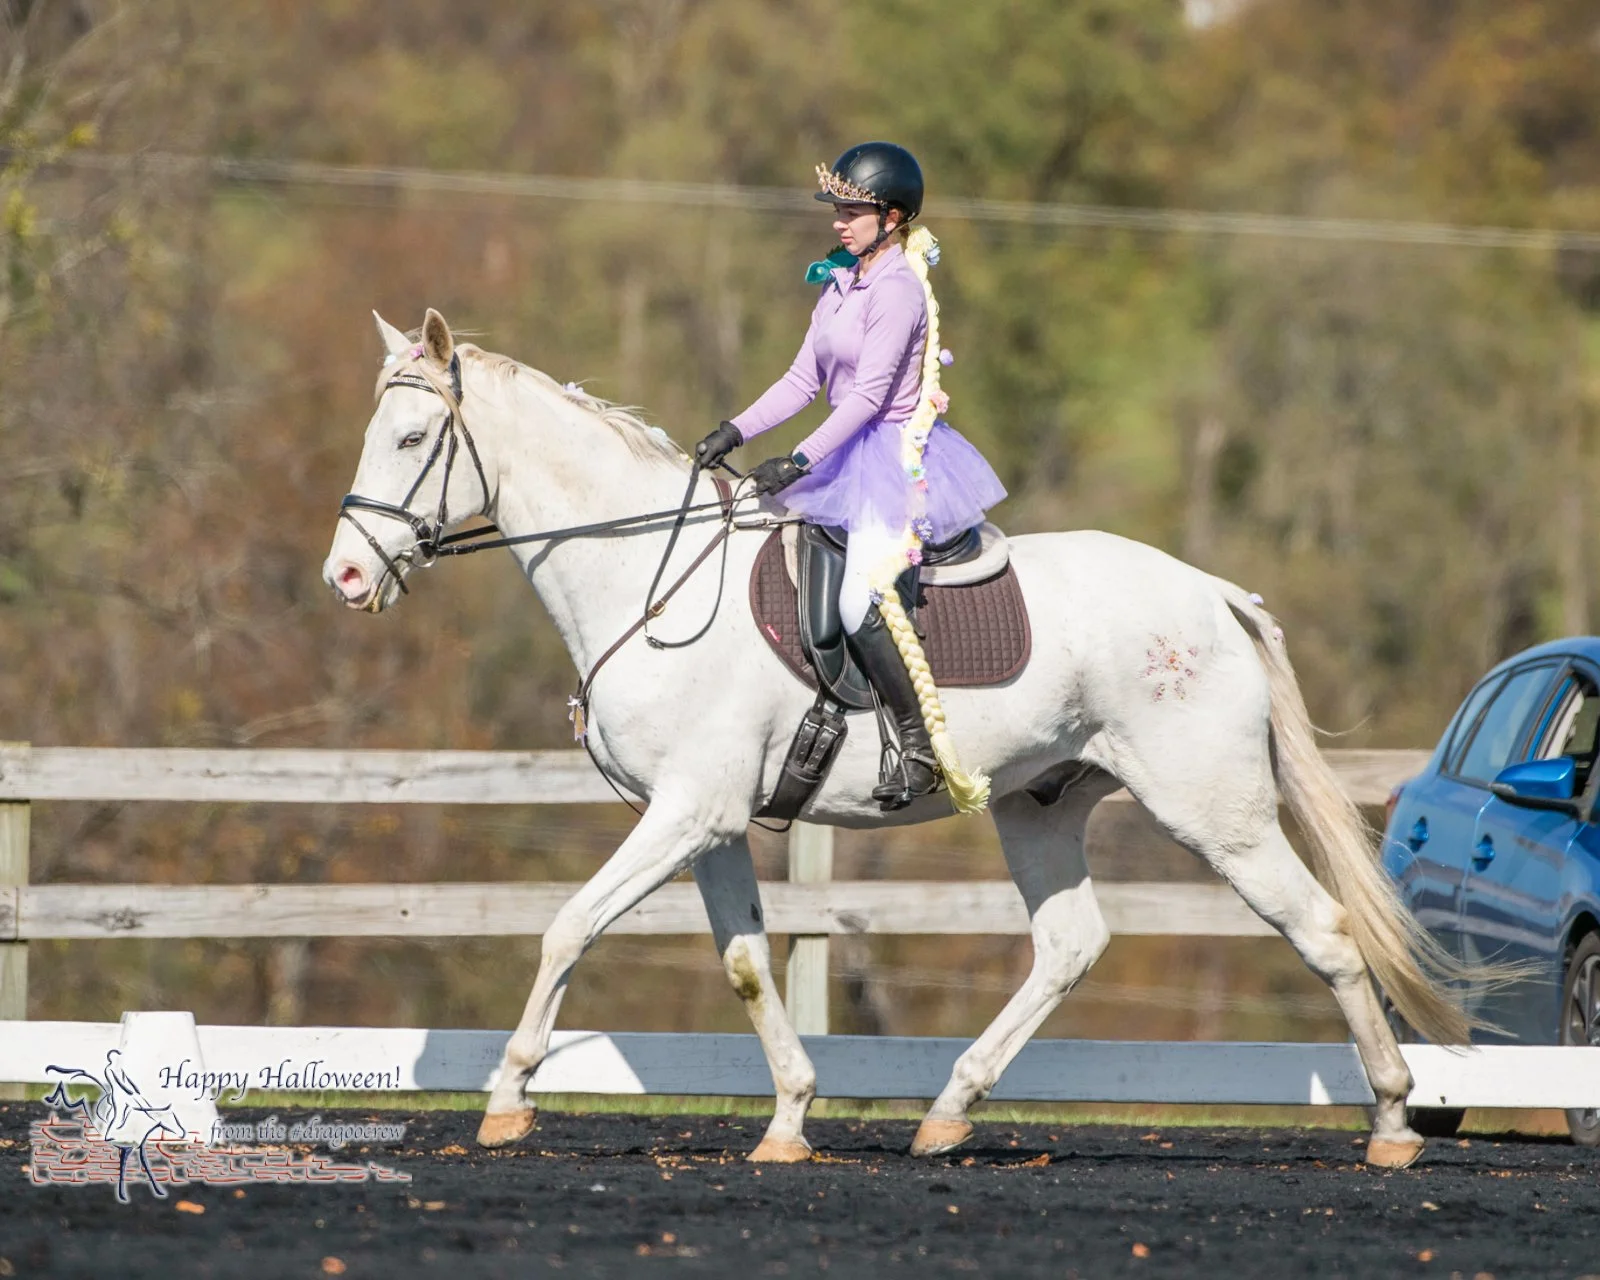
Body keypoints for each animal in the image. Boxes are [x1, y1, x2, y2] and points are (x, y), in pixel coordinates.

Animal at [322, 308, 1480, 1170]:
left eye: (414, 441)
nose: (344, 576)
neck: (648, 579)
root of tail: (1215, 596)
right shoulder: (712, 824)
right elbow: (746, 964)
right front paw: (790, 1117)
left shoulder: (685, 812)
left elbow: (567, 927)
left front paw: (507, 1095)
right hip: (1038, 804)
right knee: (1069, 944)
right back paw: (948, 1109)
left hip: (1215, 811)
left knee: (1323, 932)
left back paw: (1391, 1120)